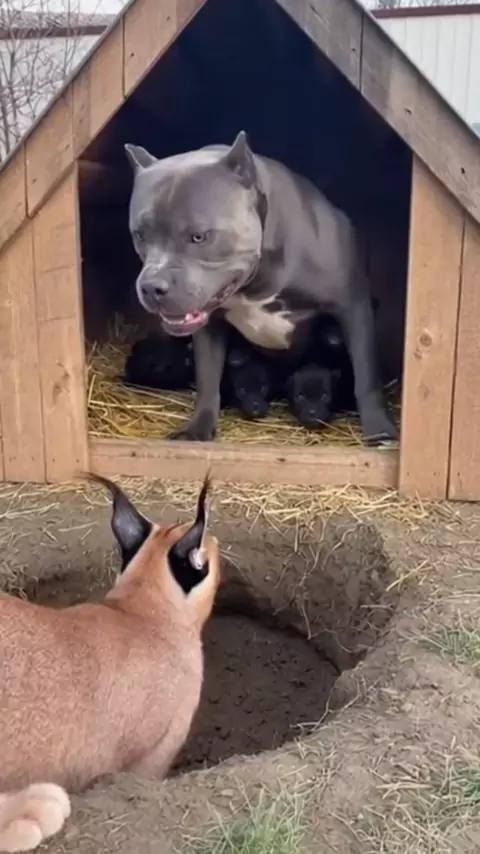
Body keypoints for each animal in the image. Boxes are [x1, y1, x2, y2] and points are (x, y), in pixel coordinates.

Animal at [124, 131, 397, 445]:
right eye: (140, 235)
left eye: (199, 236)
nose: (151, 287)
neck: (257, 280)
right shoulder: (208, 325)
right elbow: (207, 377)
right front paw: (199, 428)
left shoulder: (353, 307)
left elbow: (366, 374)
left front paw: (379, 428)